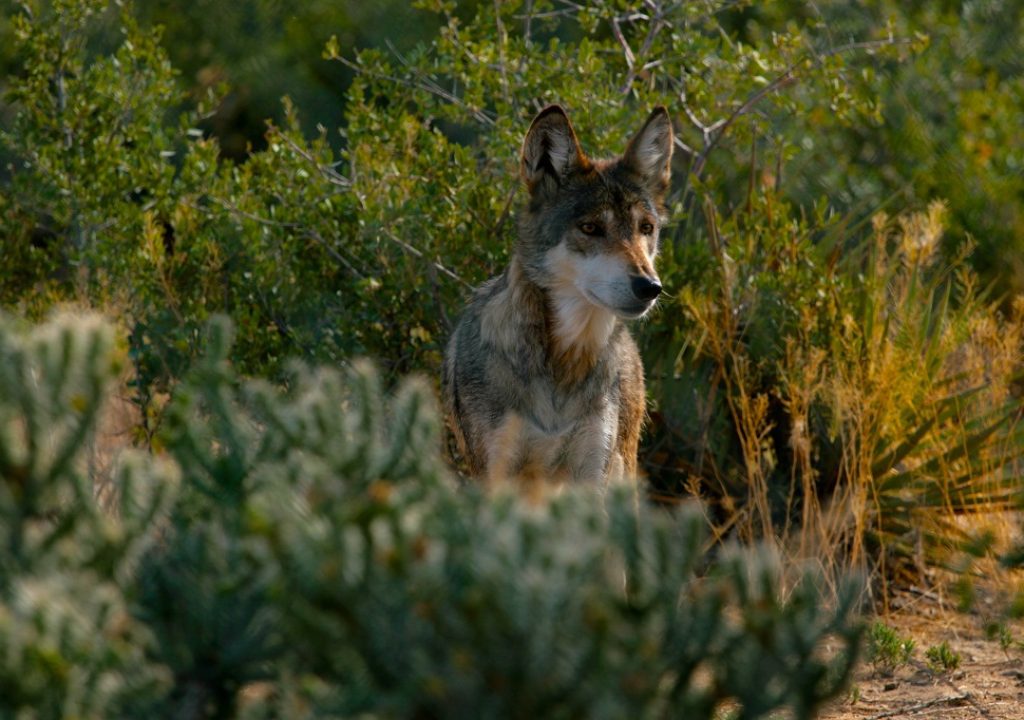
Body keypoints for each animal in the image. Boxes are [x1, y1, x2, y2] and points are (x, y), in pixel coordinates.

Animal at [440, 105, 671, 489]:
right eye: (591, 228)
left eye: (646, 229)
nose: (649, 287)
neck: (565, 362)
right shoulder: (496, 472)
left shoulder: (593, 473)